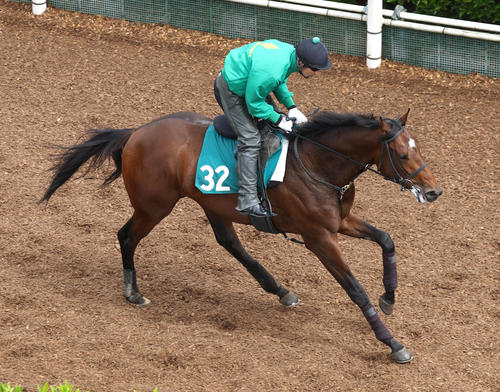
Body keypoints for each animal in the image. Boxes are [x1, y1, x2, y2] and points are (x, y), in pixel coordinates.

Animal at [42, 108, 442, 362]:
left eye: (418, 149)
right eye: (402, 154)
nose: (434, 191)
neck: (316, 164)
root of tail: (136, 132)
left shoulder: (340, 222)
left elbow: (386, 239)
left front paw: (389, 296)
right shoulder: (318, 237)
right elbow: (355, 289)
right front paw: (392, 344)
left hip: (210, 203)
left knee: (229, 243)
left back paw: (281, 291)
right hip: (154, 206)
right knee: (126, 236)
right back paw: (133, 292)